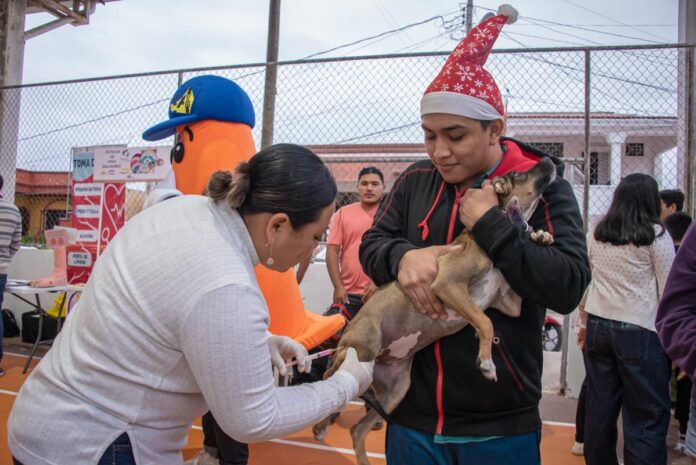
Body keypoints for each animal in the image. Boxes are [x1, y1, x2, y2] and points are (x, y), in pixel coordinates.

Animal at [312, 157, 556, 464]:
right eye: (518, 174)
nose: (549, 160)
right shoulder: (448, 283)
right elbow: (485, 322)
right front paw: (486, 363)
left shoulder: (510, 303)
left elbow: (499, 308)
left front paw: (541, 235)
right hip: (362, 347)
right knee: (327, 379)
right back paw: (320, 424)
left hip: (394, 390)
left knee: (357, 428)